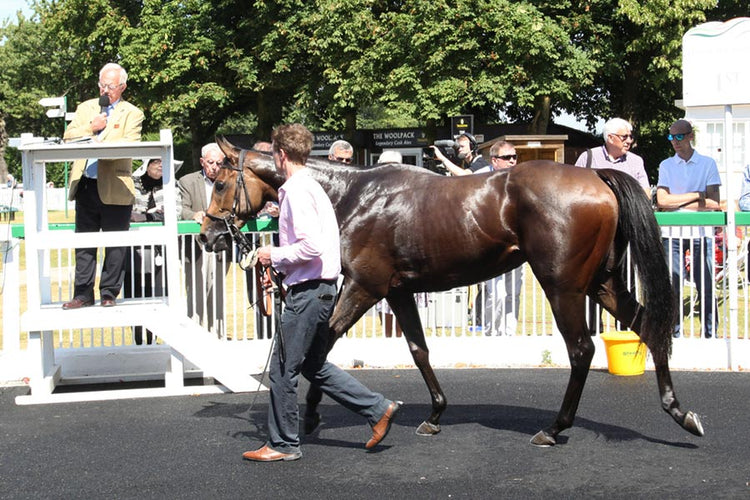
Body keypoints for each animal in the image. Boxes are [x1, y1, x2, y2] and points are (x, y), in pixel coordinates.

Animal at [200, 137, 704, 446]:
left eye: (220, 182)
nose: (208, 236)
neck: (350, 195)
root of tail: (597, 177)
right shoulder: (398, 292)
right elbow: (419, 350)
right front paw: (436, 414)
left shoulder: (364, 286)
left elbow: (321, 345)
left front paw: (311, 416)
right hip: (601, 282)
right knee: (649, 327)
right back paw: (680, 413)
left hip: (563, 285)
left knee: (582, 349)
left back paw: (554, 428)